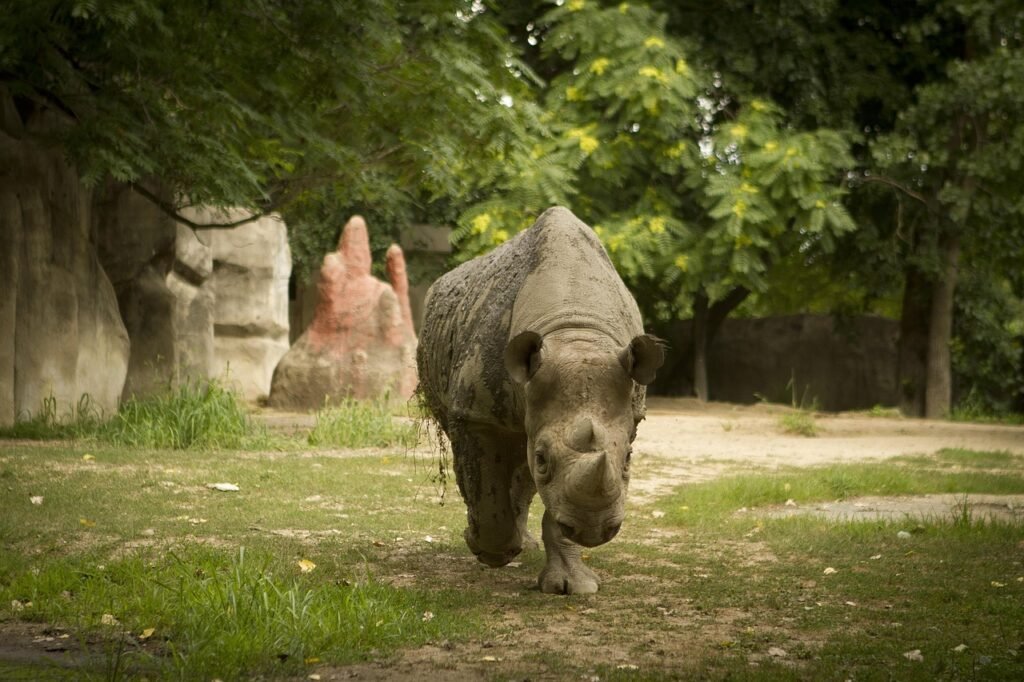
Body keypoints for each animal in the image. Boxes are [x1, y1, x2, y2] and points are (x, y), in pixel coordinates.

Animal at [416, 206, 664, 594]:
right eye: (543, 458)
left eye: (628, 459)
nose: (594, 530)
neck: (574, 329)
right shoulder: (475, 413)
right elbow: (488, 490)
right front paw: (491, 552)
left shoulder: (626, 413)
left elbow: (560, 496)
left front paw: (573, 586)